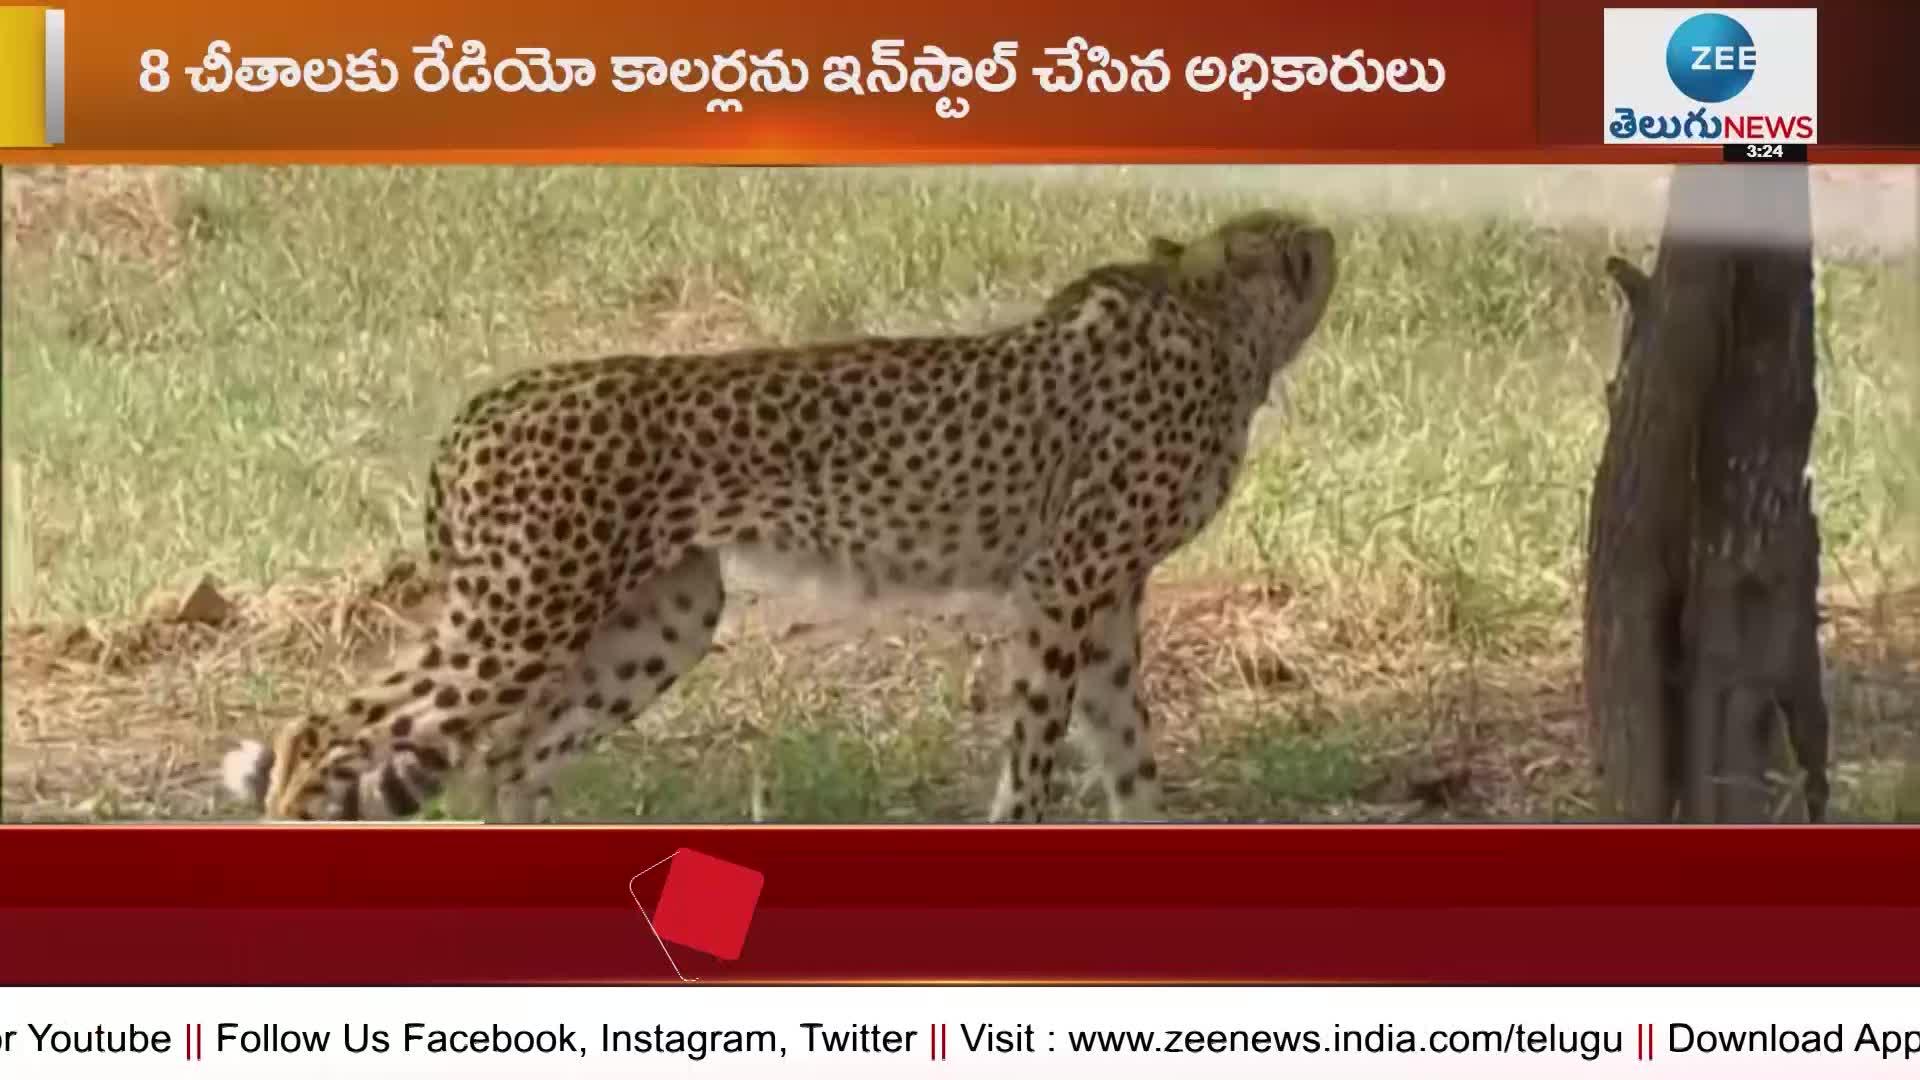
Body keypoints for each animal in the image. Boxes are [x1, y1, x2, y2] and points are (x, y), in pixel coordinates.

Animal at [220, 205, 1336, 818]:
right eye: (1294, 249)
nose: (1329, 240)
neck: (1215, 320)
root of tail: (481, 407)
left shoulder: (1107, 594)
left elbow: (1128, 747)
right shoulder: (1065, 583)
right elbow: (1039, 748)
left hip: (664, 615)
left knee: (511, 758)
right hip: (520, 614)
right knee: (326, 731)